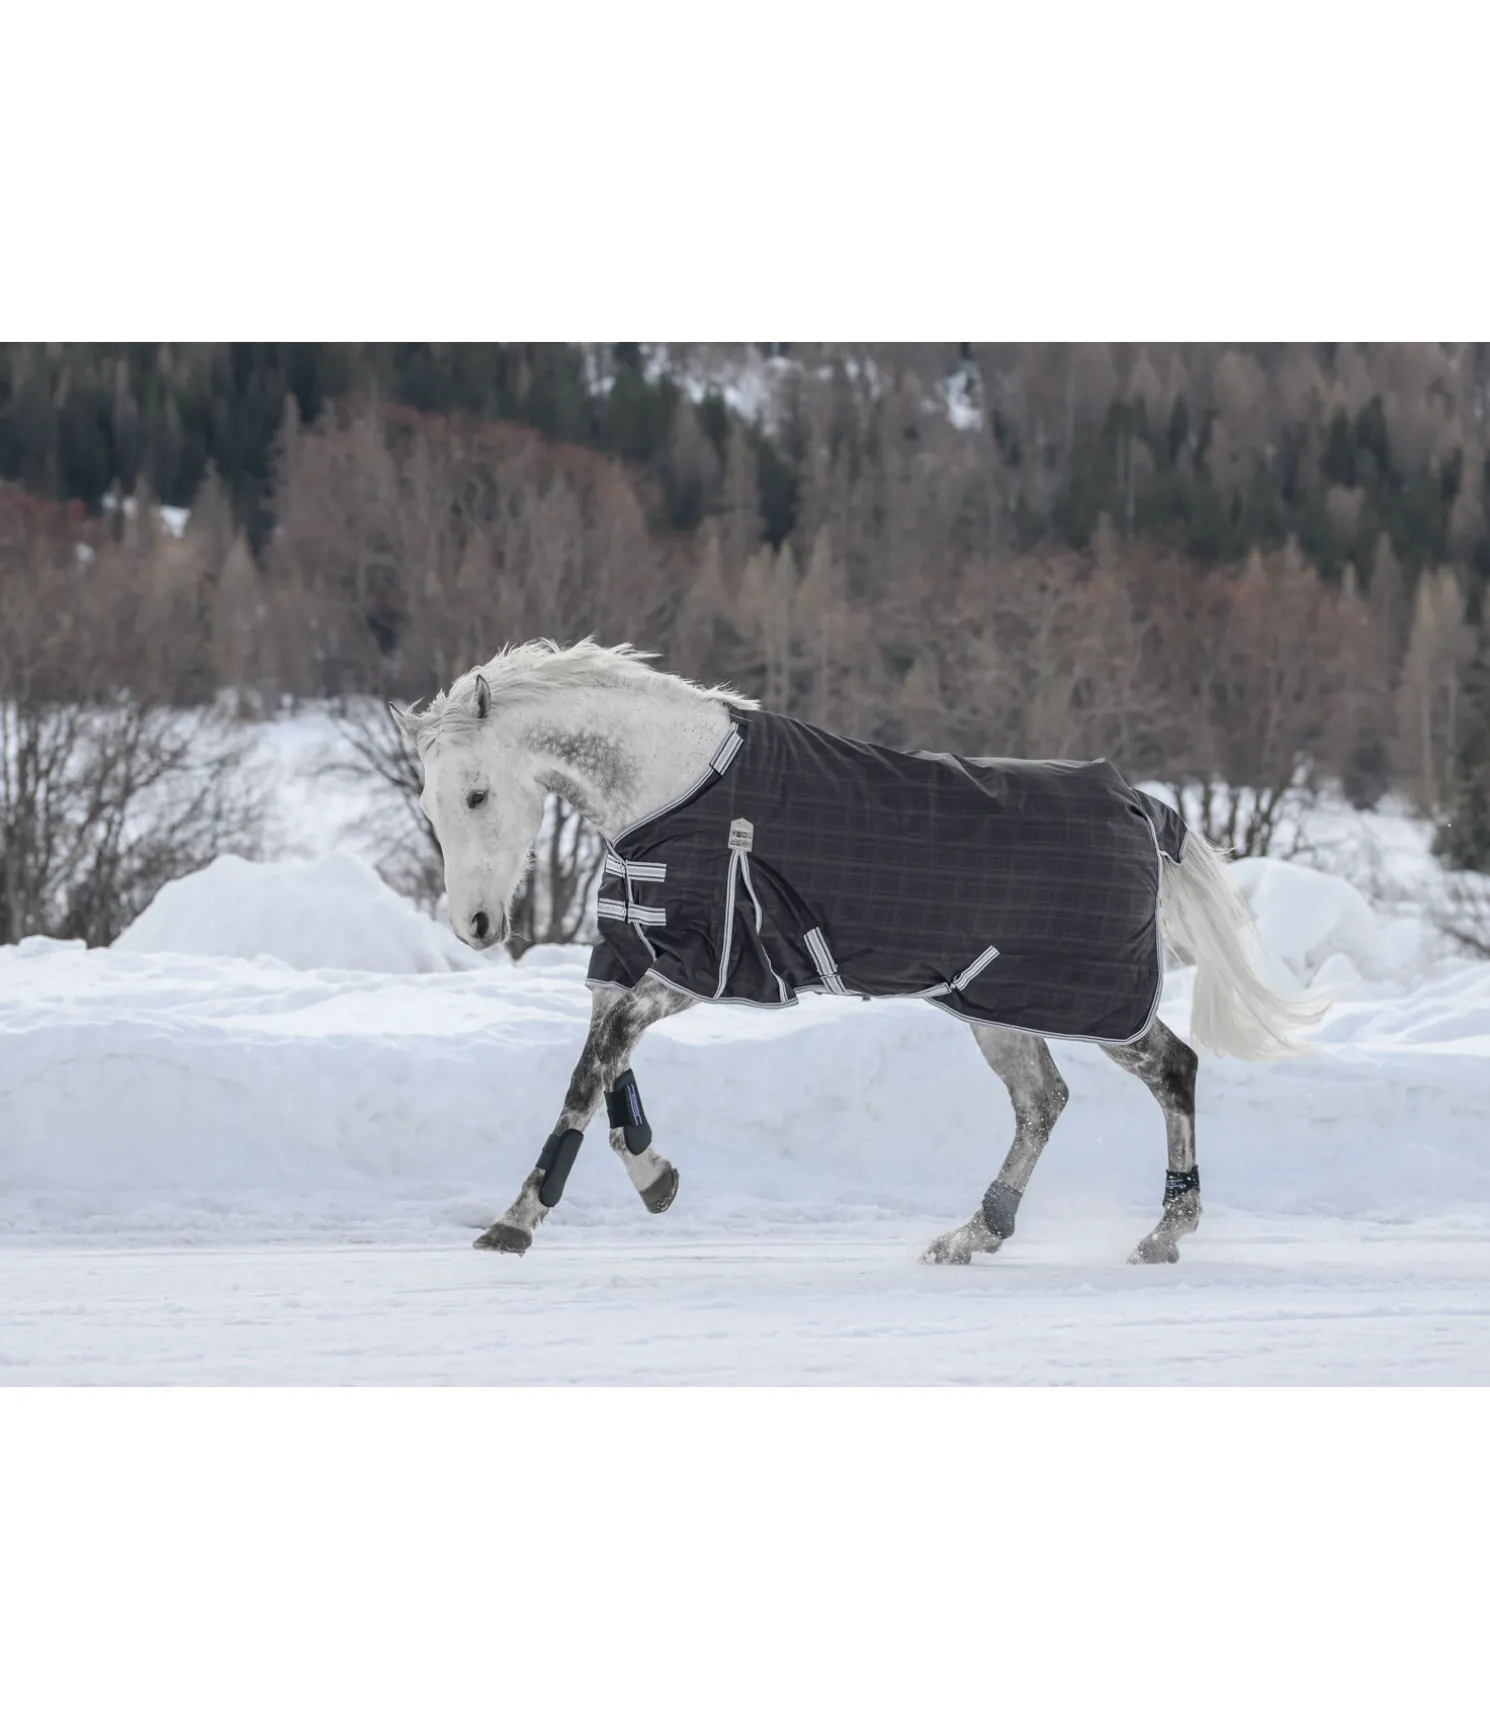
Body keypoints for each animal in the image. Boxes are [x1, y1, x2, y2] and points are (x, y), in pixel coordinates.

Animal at [391, 639, 1324, 1266]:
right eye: (432, 803)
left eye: (477, 794)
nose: (477, 925)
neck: (677, 787)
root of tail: (1136, 801)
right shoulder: (633, 954)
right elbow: (608, 1063)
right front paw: (656, 1180)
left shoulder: (703, 965)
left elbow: (594, 1068)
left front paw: (514, 1223)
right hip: (994, 1003)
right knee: (1044, 1102)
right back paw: (974, 1233)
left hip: (1088, 999)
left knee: (1172, 1068)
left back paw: (1165, 1232)